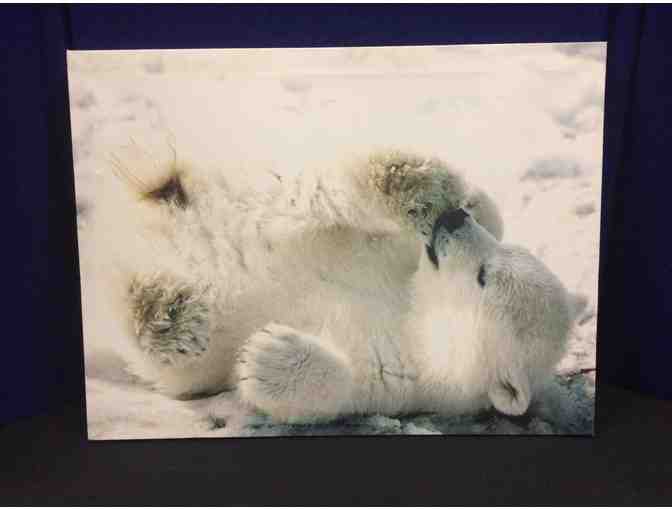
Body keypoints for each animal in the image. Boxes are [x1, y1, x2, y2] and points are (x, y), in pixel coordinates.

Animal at [80, 142, 571, 424]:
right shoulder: (394, 256)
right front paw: (457, 200)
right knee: (306, 195)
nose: (452, 221)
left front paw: (266, 355)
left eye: (483, 276)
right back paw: (409, 179)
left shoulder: (405, 377)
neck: (415, 312)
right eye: (495, 257)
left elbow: (336, 388)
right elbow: (481, 213)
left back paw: (165, 312)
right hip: (250, 202)